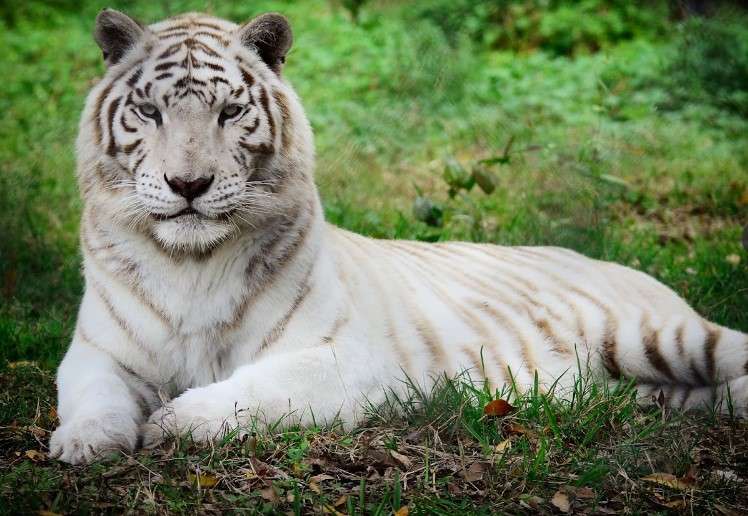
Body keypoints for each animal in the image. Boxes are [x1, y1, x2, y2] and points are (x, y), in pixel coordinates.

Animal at [50, 8, 748, 464]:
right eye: (149, 112)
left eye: (230, 111)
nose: (188, 183)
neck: (191, 263)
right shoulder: (98, 350)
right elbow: (90, 393)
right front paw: (84, 441)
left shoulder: (345, 360)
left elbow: (248, 391)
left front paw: (174, 419)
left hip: (657, 334)